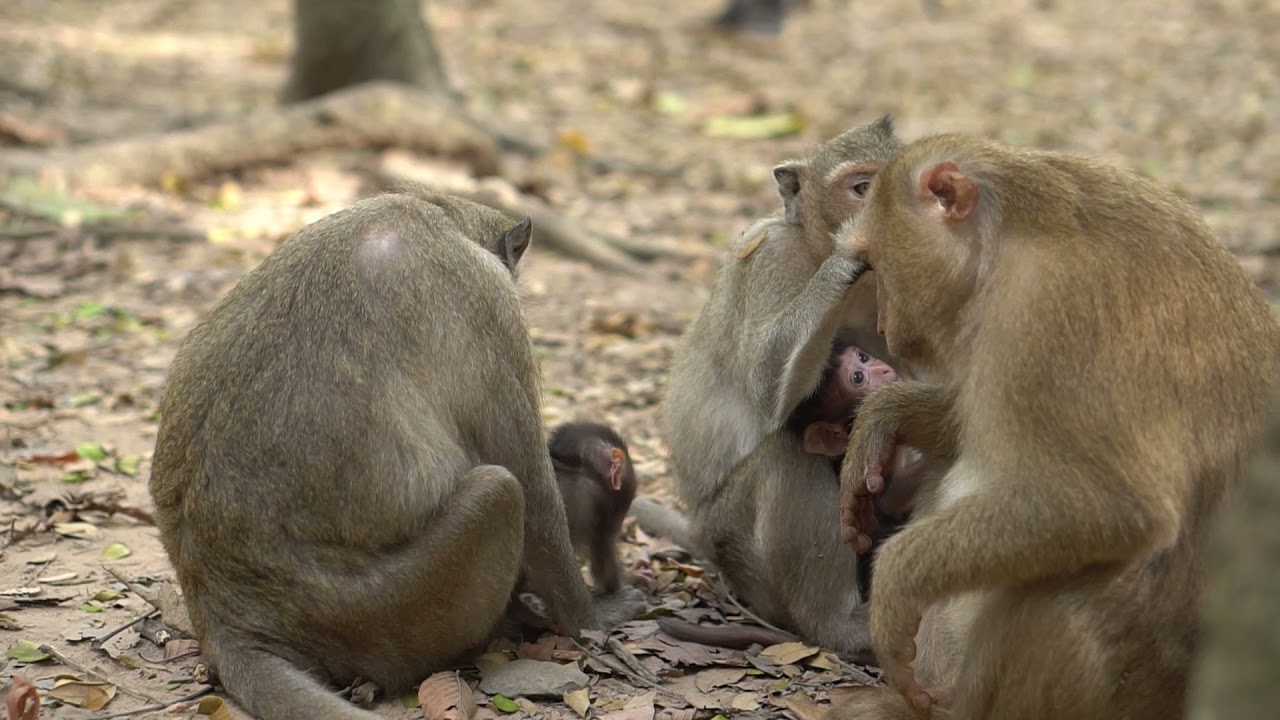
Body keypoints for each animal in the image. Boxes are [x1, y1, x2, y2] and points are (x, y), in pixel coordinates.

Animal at [148, 190, 645, 720]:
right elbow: (534, 494)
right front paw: (593, 619)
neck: (438, 212)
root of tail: (220, 610)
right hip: (385, 614)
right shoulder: (489, 302)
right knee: (500, 492)